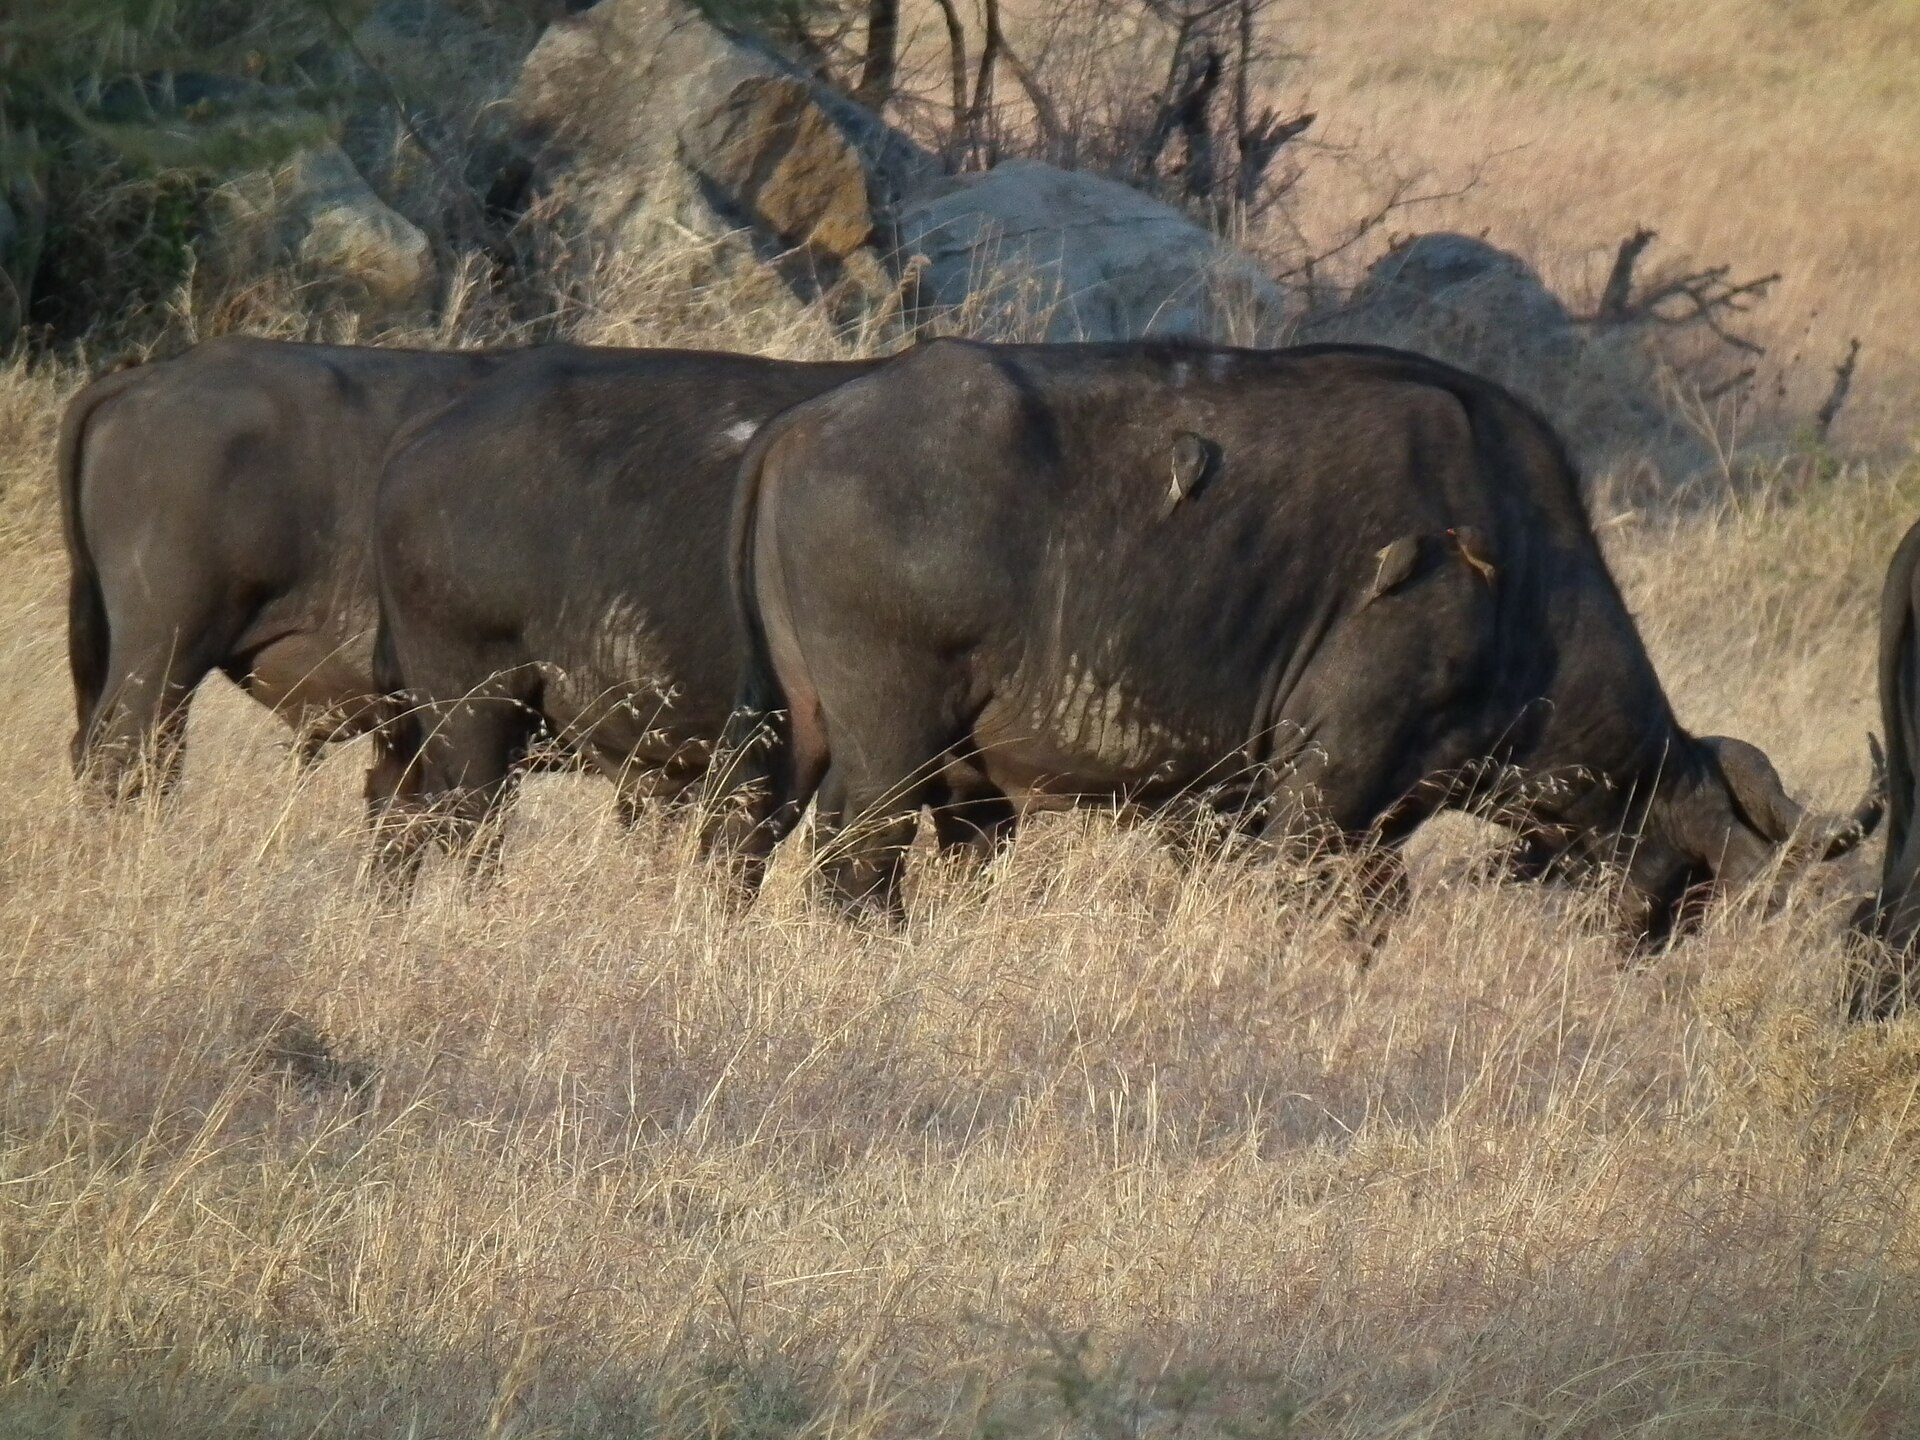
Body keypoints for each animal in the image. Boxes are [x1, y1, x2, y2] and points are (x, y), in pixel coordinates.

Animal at [704, 338, 1880, 939]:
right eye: (1687, 885)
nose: (1640, 952)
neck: (1516, 576)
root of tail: (801, 425)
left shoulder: (1324, 814)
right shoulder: (1328, 789)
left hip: (800, 736)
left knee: (748, 839)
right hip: (893, 747)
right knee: (853, 867)